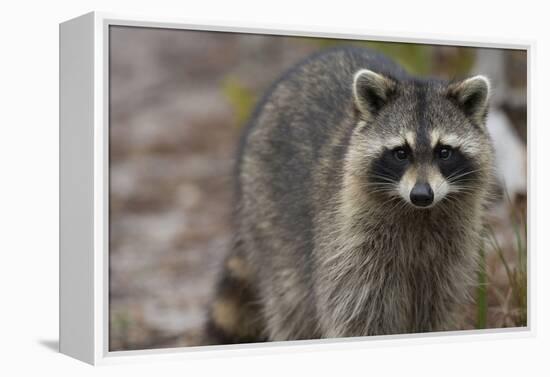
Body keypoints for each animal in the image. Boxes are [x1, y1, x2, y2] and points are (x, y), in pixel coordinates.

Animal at [205, 45, 498, 342]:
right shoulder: (349, 245)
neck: (418, 215)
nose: (421, 195)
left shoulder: (449, 258)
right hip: (270, 221)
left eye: (444, 152)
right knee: (291, 302)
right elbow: (358, 311)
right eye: (401, 153)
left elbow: (436, 309)